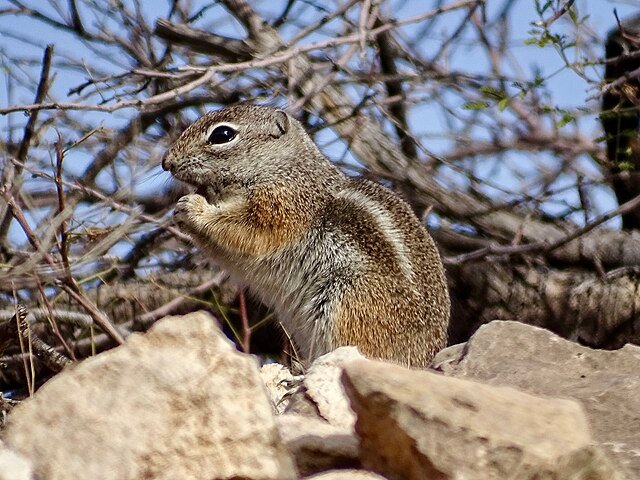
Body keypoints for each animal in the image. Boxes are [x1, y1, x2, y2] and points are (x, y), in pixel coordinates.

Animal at [162, 104, 450, 368]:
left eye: (222, 134)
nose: (166, 162)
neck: (283, 167)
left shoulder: (282, 205)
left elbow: (246, 230)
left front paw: (193, 207)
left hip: (347, 302)